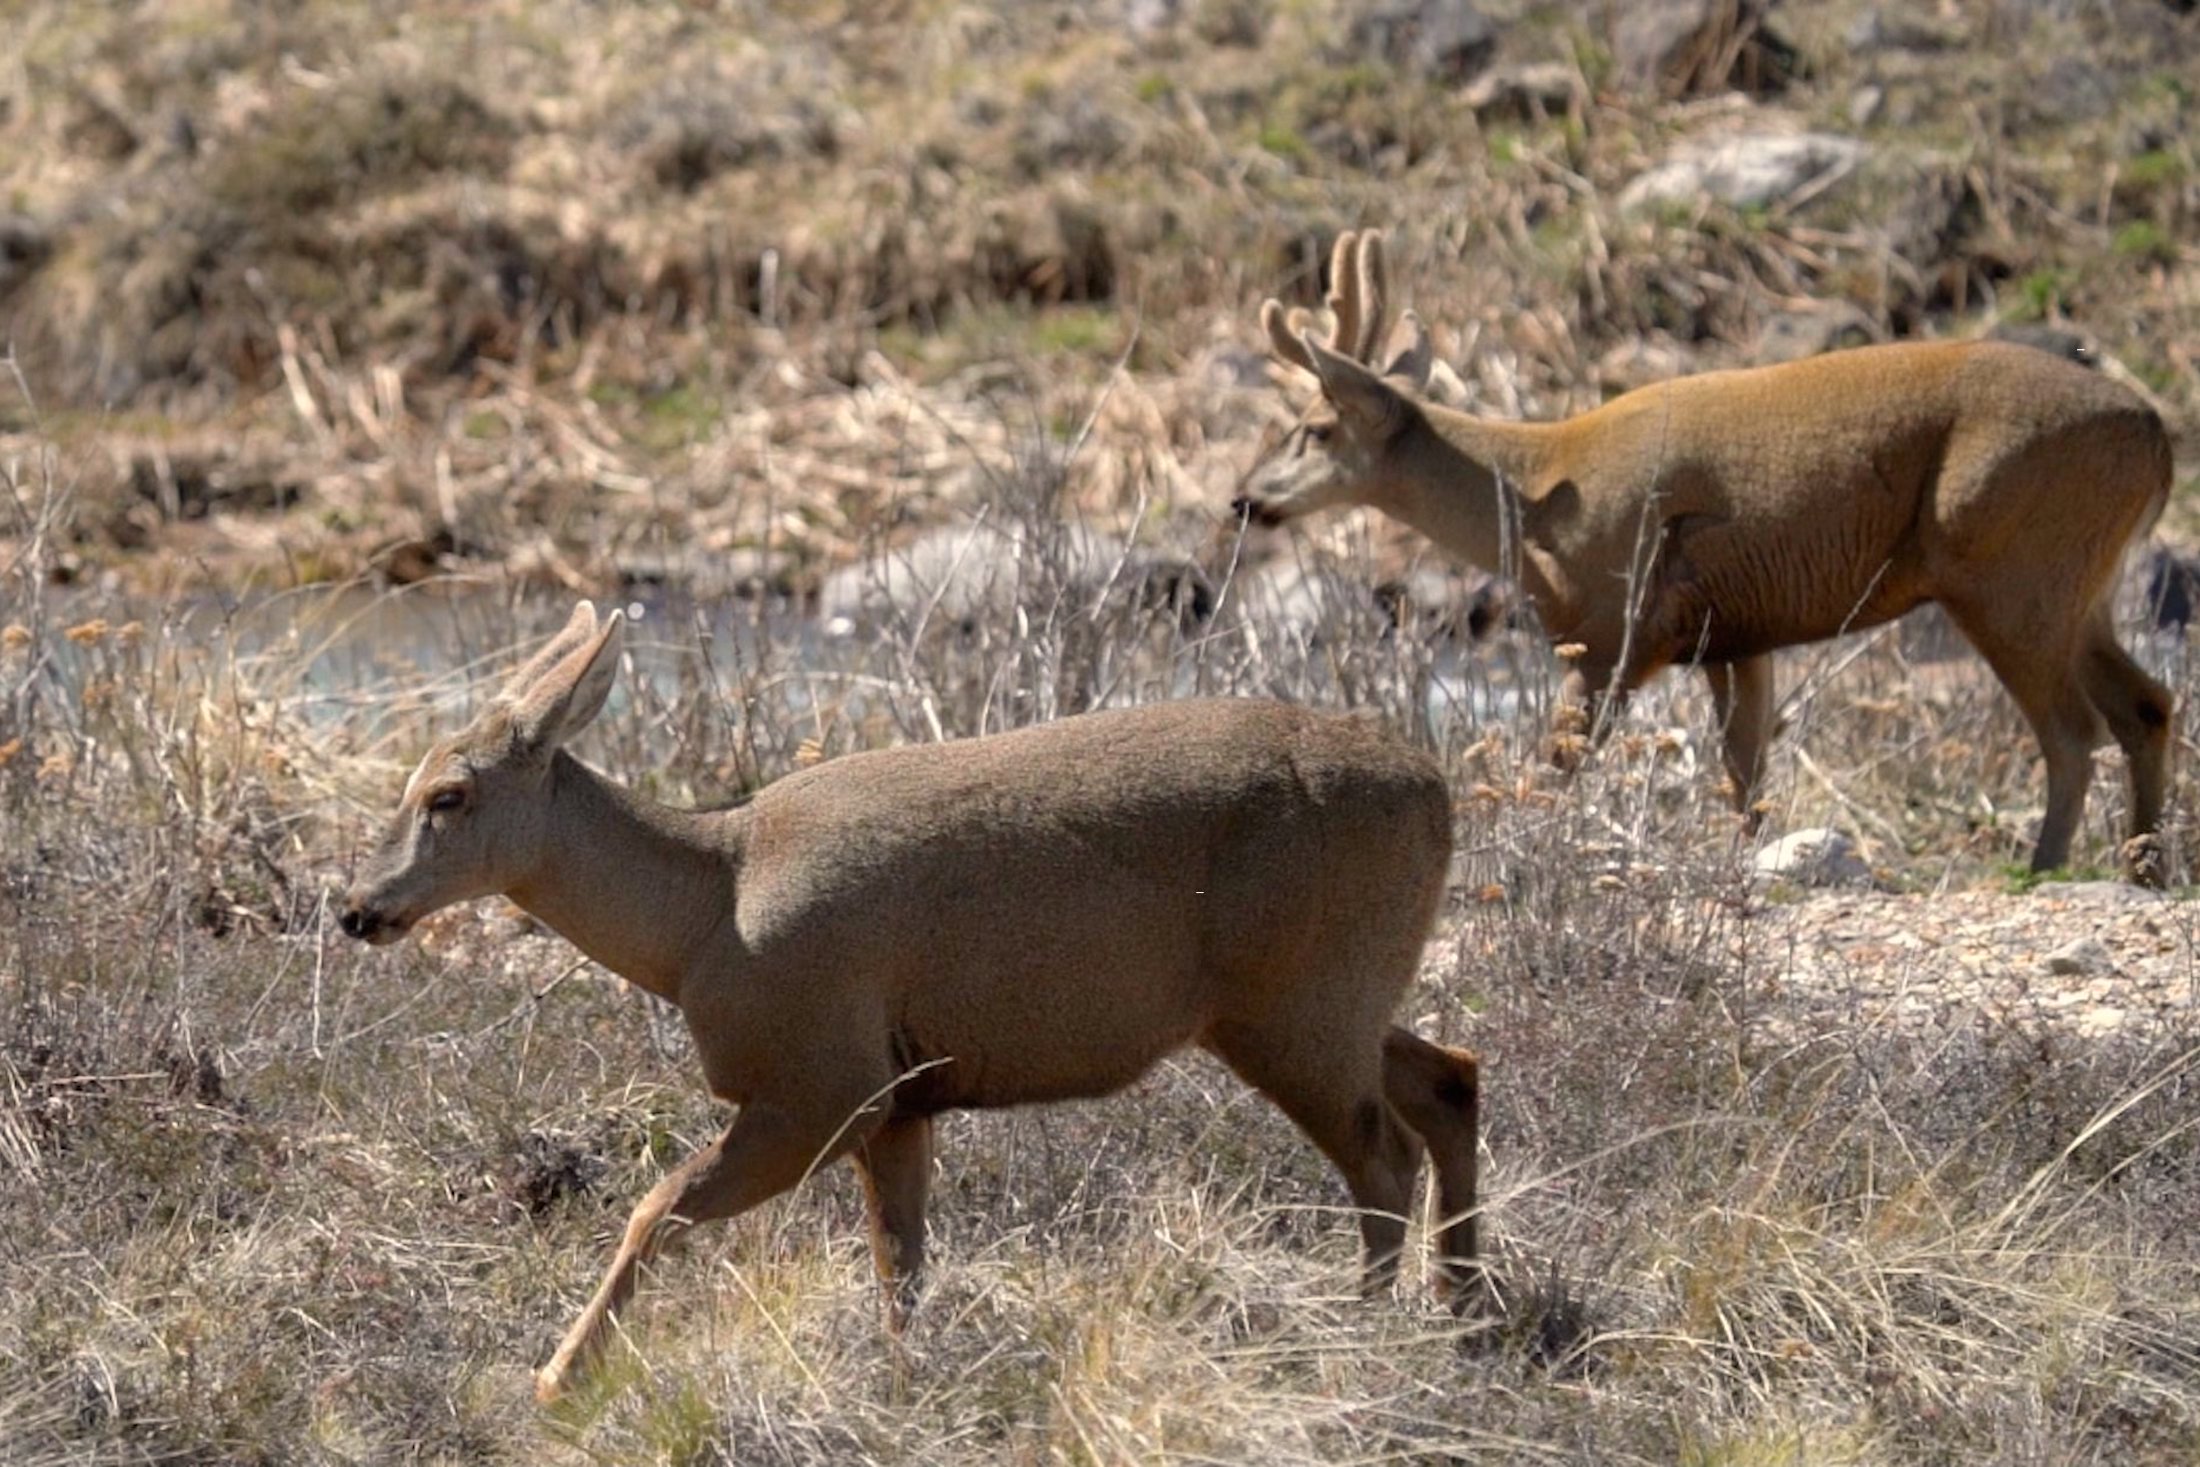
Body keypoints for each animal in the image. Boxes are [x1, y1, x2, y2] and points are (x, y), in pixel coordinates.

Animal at [337, 602, 1483, 1402]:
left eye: (448, 795)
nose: (356, 907)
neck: (703, 916)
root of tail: (1436, 790)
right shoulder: (902, 1099)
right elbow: (901, 1264)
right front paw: (905, 1384)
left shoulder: (819, 1080)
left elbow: (655, 1205)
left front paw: (556, 1380)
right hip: (1334, 993)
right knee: (1451, 1080)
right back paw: (1462, 1308)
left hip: (1292, 1001)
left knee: (1382, 1156)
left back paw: (1355, 1341)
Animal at [1235, 229, 2176, 883]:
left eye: (1313, 429)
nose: (1245, 497)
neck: (1535, 496)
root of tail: (2157, 437)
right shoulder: (1735, 637)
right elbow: (1744, 777)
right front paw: (1753, 865)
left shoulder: (1612, 628)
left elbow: (1557, 766)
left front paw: (1510, 857)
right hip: (2079, 583)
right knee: (2148, 705)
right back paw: (2147, 868)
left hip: (2010, 565)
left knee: (2073, 729)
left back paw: (2046, 867)